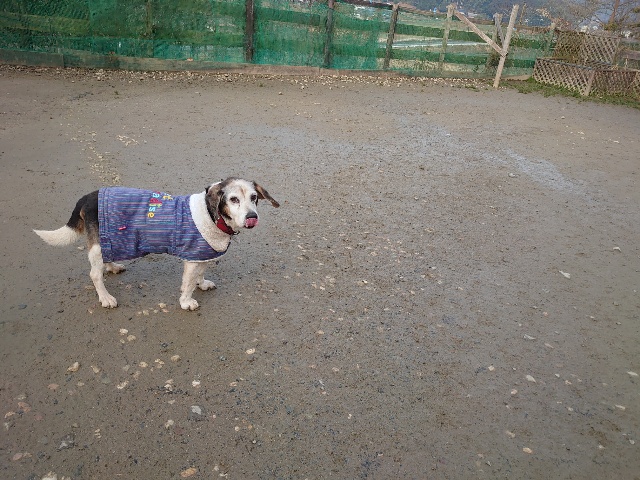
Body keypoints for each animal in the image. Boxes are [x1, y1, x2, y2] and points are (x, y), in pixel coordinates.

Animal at [34, 178, 279, 310]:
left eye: (254, 197)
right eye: (233, 199)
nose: (252, 217)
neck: (213, 216)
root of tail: (87, 197)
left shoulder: (201, 254)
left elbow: (200, 274)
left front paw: (202, 284)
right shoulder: (192, 258)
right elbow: (188, 284)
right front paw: (186, 301)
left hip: (110, 238)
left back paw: (112, 267)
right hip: (96, 248)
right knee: (94, 274)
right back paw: (105, 297)